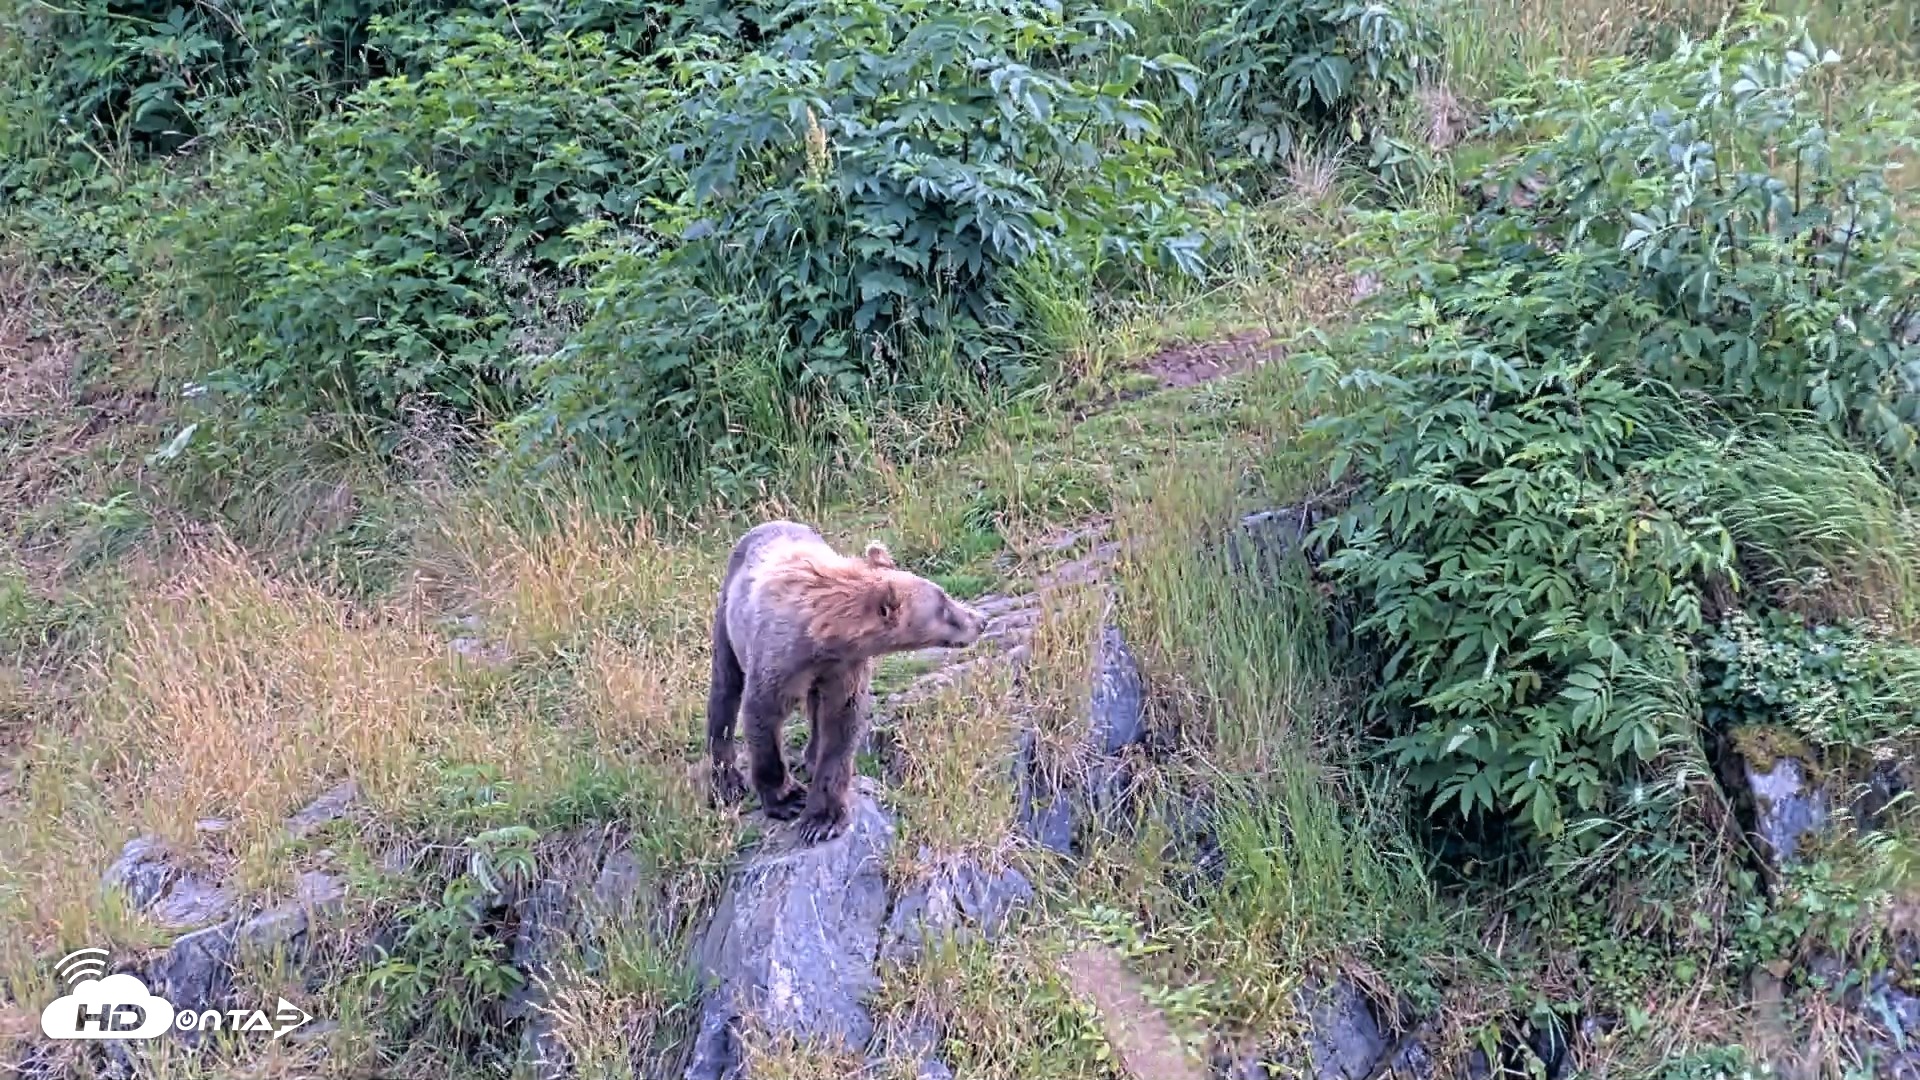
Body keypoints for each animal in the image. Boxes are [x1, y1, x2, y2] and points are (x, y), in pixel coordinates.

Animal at [706, 520, 985, 843]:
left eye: (945, 597)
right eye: (944, 608)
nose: (980, 621)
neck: (823, 637)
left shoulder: (844, 668)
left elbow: (841, 725)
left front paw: (823, 818)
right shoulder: (777, 660)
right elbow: (762, 716)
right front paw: (789, 799)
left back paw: (810, 757)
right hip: (727, 617)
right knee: (725, 689)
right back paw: (726, 779)